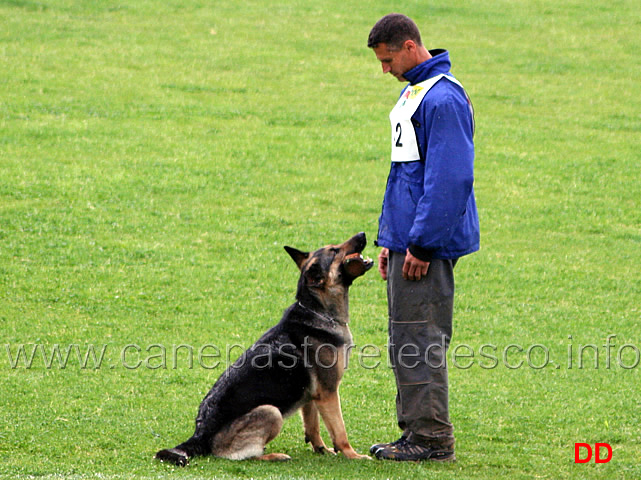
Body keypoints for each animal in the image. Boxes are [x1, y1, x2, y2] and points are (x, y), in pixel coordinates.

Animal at [155, 232, 372, 464]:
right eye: (334, 250)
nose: (362, 234)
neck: (318, 311)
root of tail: (199, 435)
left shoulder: (311, 396)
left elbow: (313, 426)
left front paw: (321, 449)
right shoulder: (328, 393)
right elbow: (340, 432)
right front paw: (353, 455)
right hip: (271, 412)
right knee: (239, 455)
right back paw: (274, 456)